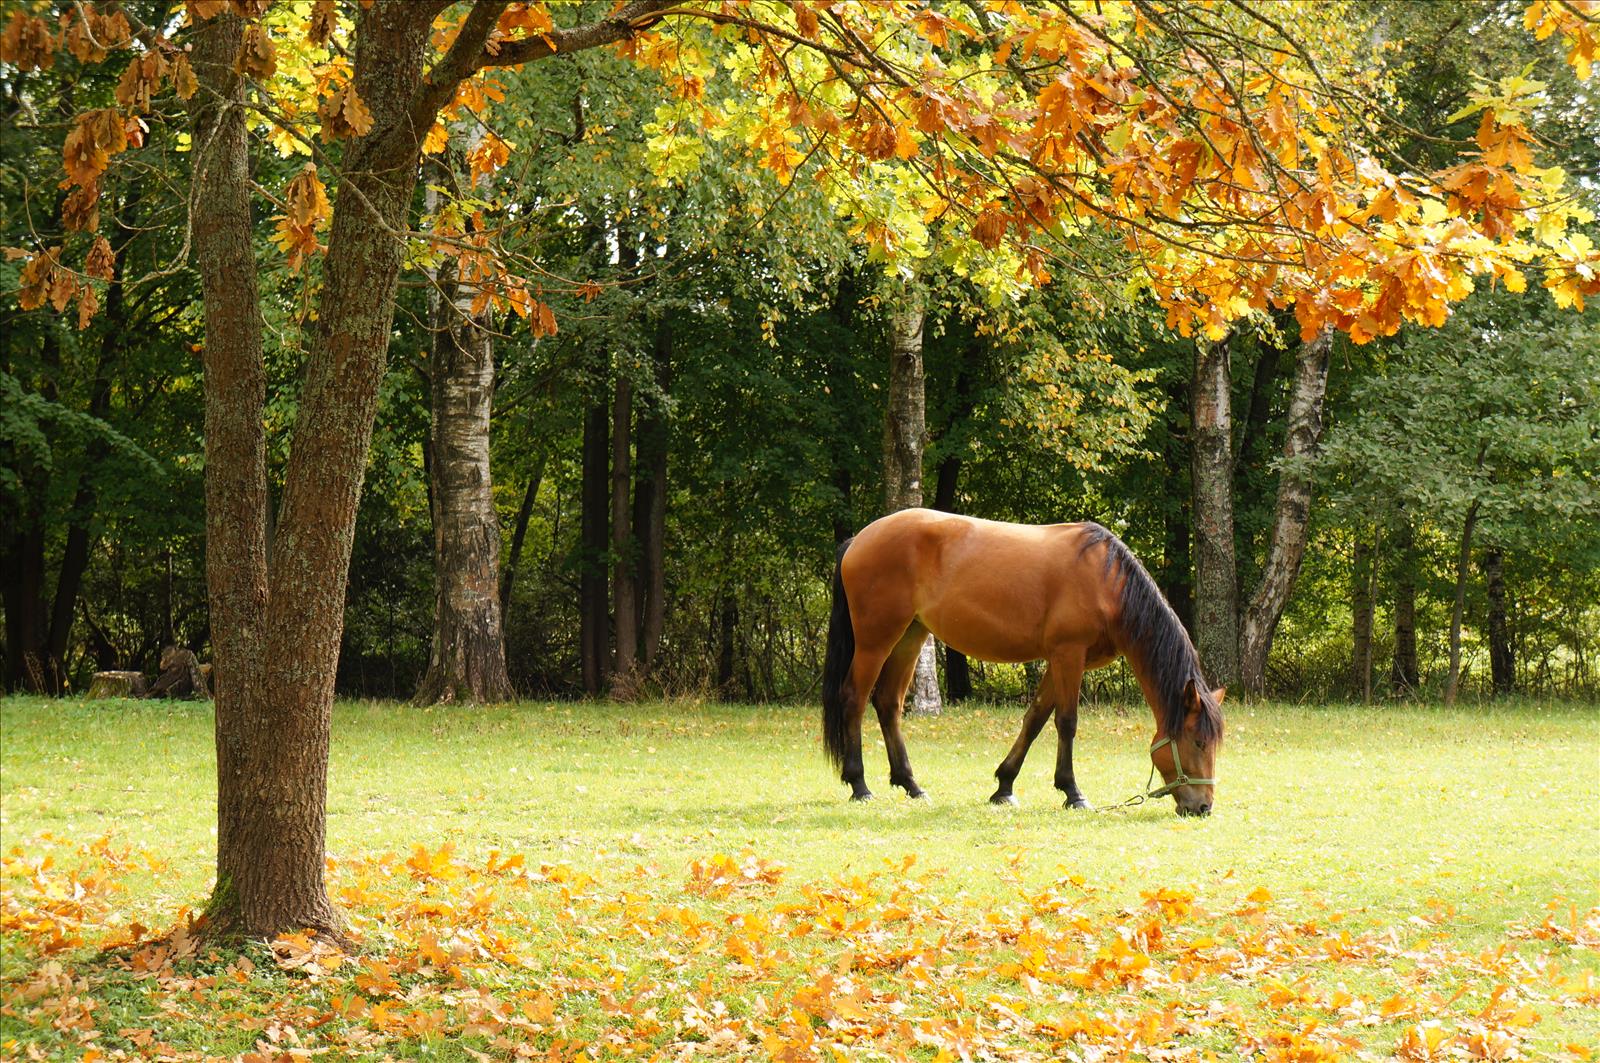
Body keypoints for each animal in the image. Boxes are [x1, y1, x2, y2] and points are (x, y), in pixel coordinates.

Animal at [825, 512, 1222, 816]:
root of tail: (858, 539)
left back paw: (911, 784)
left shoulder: (1060, 661)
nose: (1202, 807)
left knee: (888, 703)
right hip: (876, 641)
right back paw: (859, 784)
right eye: (1199, 742)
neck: (1107, 584)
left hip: (910, 636)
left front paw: (1004, 786)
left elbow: (1035, 719)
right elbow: (1066, 722)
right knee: (854, 699)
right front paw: (1073, 793)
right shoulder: (1068, 655)